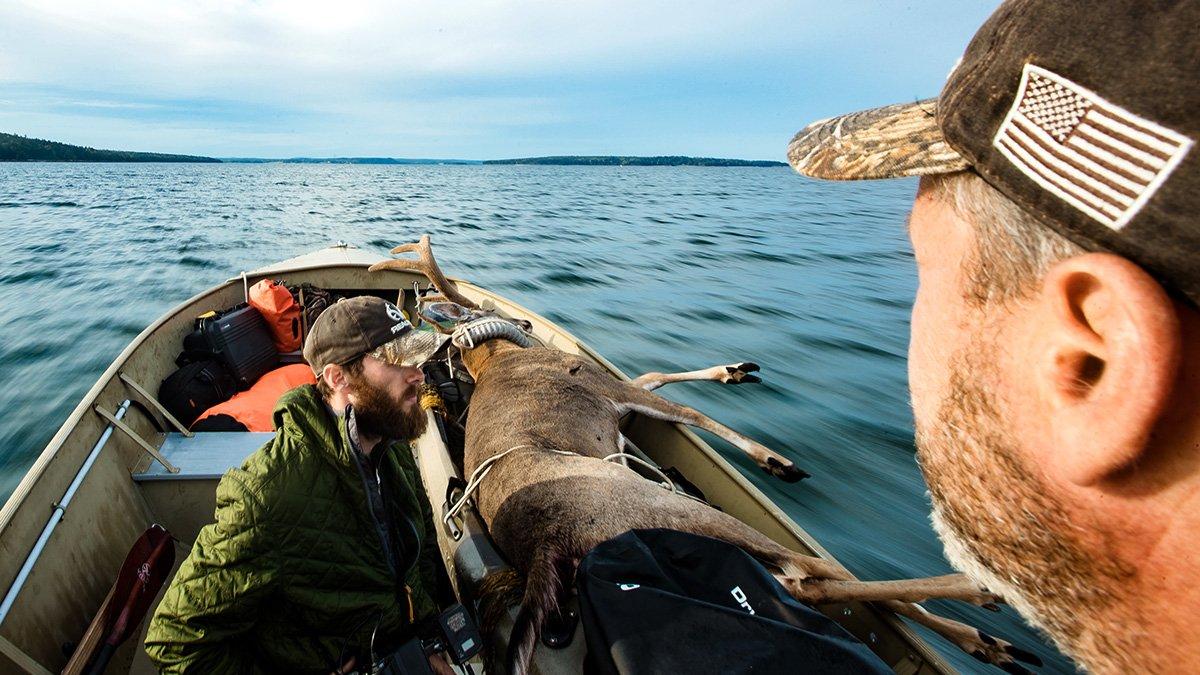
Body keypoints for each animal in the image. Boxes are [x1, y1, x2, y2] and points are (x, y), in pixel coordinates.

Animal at [367, 236, 1041, 672]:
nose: (524, 324)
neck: (497, 354)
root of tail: (543, 556)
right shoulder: (601, 389)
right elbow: (685, 409)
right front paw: (772, 458)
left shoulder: (617, 402)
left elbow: (658, 375)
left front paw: (736, 371)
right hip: (669, 508)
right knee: (812, 572)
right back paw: (984, 597)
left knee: (809, 581)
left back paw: (986, 637)